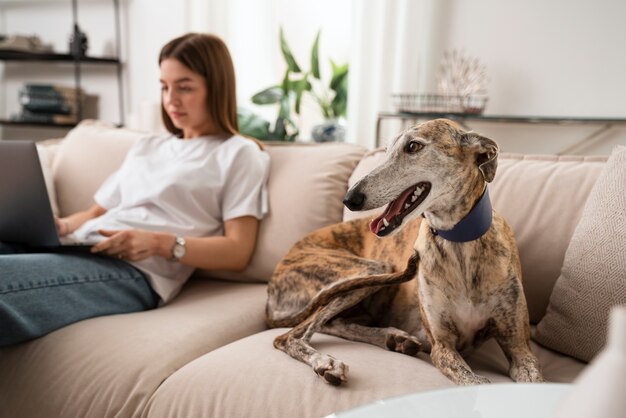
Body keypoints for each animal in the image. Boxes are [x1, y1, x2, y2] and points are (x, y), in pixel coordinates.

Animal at [264, 117, 540, 386]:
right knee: (289, 336)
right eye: (386, 151)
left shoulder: (520, 347)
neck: (459, 244)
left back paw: (393, 338)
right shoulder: (443, 347)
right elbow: (476, 382)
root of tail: (271, 289)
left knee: (330, 322)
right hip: (370, 270)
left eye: (413, 146)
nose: (350, 199)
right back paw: (327, 362)